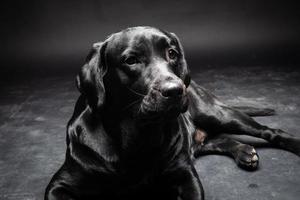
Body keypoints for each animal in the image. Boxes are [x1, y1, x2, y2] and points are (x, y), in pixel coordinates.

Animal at [45, 26, 300, 200]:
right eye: (131, 60)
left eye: (172, 53)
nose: (176, 90)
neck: (138, 138)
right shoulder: (59, 184)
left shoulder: (186, 177)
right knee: (221, 139)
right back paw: (244, 152)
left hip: (217, 114)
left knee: (269, 131)